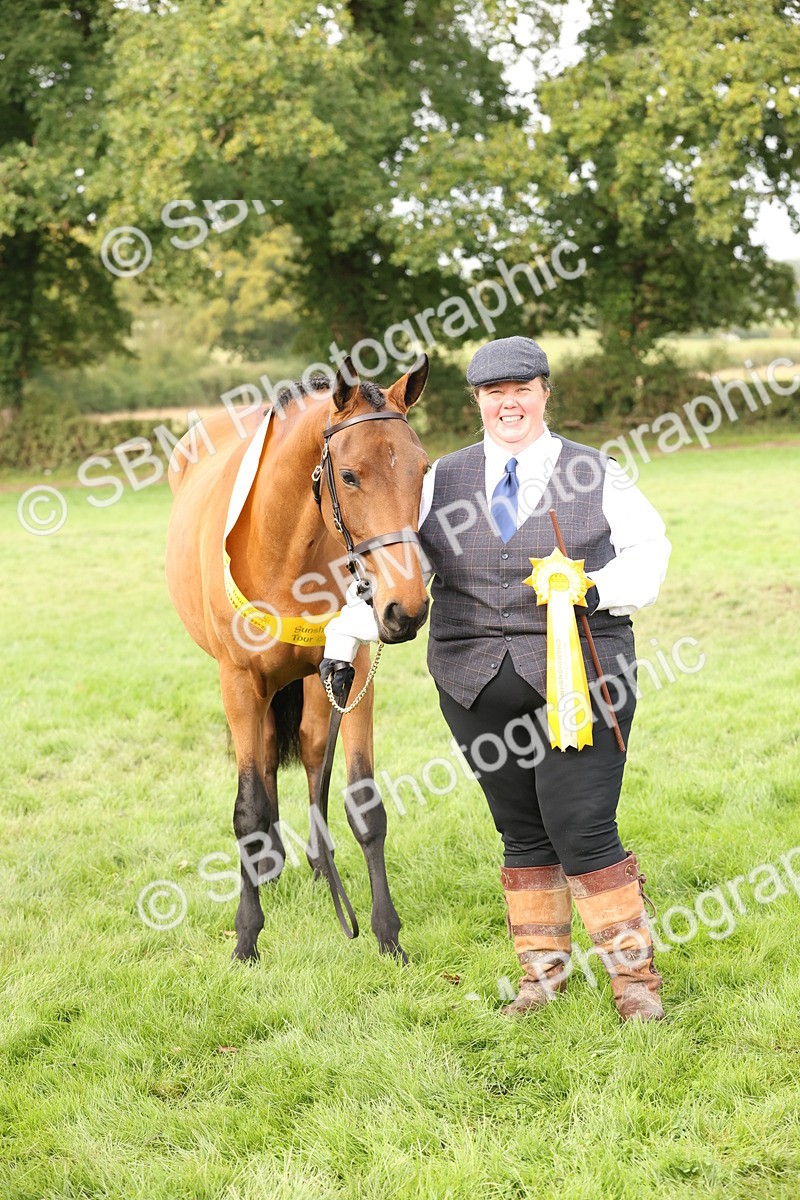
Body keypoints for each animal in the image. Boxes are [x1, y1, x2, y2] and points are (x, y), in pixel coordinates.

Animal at [165, 355, 430, 963]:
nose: (405, 608)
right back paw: (268, 864)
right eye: (350, 476)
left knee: (310, 751)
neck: (281, 548)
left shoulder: (352, 671)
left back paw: (315, 863)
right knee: (263, 758)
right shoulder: (239, 682)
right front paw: (246, 937)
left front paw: (386, 935)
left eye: (423, 470)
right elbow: (247, 806)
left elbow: (363, 802)